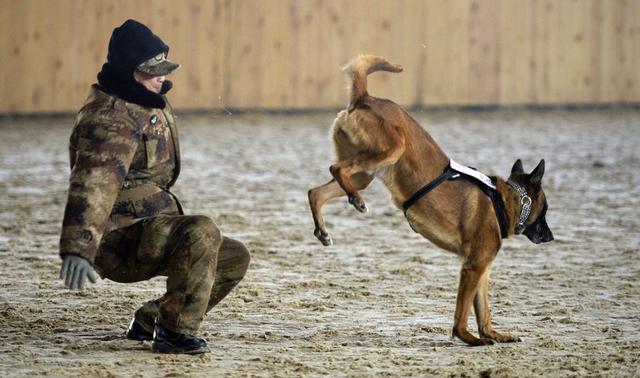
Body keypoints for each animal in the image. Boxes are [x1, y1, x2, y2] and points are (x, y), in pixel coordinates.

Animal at [308, 54, 552, 346]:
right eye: (546, 210)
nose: (551, 237)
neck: (503, 200)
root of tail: (365, 97)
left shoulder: (482, 270)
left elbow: (484, 310)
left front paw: (493, 334)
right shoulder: (472, 268)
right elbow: (463, 312)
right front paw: (468, 337)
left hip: (365, 174)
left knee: (316, 192)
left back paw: (324, 229)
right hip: (391, 150)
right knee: (336, 168)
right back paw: (356, 200)